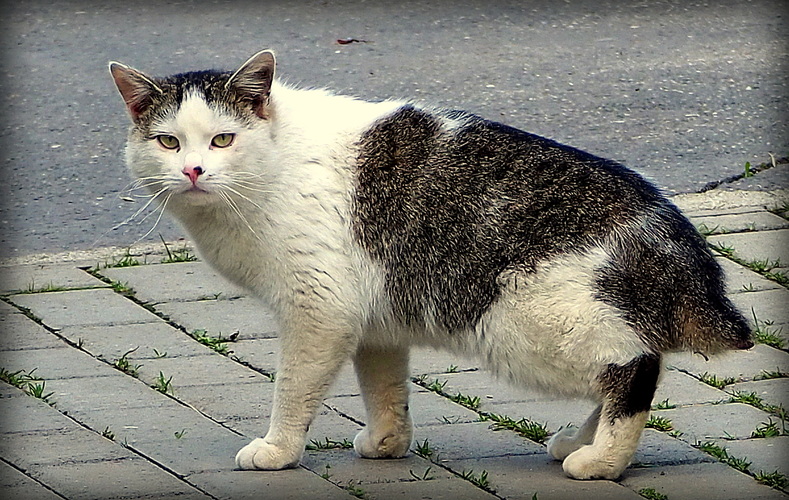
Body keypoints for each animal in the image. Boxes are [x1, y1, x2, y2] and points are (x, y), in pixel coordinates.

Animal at [109, 49, 752, 480]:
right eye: (168, 142)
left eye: (222, 139)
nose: (193, 170)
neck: (271, 167)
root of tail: (674, 238)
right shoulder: (373, 319)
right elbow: (384, 387)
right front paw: (387, 442)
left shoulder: (318, 311)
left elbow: (292, 390)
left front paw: (277, 450)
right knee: (631, 366)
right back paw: (578, 444)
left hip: (529, 325)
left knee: (635, 368)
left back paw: (599, 462)